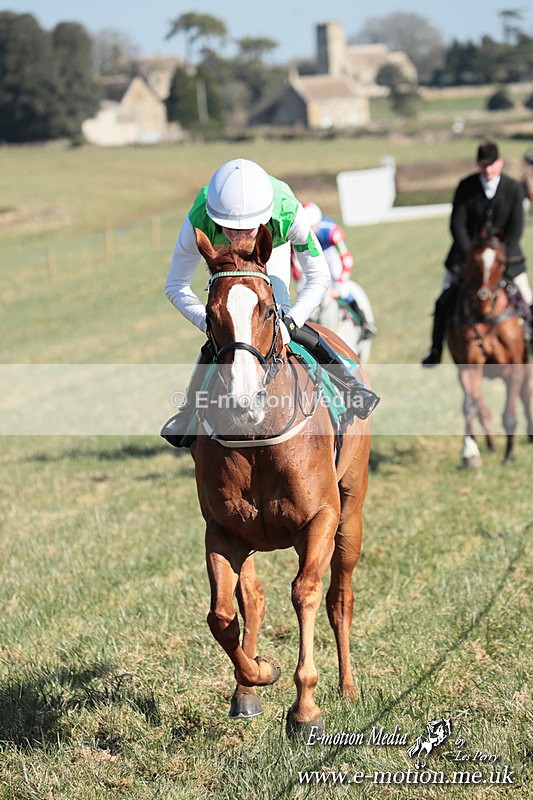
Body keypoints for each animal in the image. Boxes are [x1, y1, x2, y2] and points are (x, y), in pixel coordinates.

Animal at [189, 224, 371, 738]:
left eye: (267, 309)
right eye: (211, 315)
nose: (243, 399)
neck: (257, 439)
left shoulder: (321, 519)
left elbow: (306, 592)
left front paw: (305, 708)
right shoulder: (222, 531)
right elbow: (221, 614)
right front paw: (258, 673)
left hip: (351, 513)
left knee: (339, 597)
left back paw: (348, 686)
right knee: (250, 597)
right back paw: (246, 690)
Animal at [447, 232, 533, 466]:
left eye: (500, 262)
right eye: (473, 260)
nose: (483, 297)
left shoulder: (514, 368)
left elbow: (510, 414)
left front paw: (510, 454)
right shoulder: (469, 367)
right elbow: (470, 406)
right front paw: (470, 453)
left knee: (525, 396)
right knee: (480, 406)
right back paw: (488, 444)